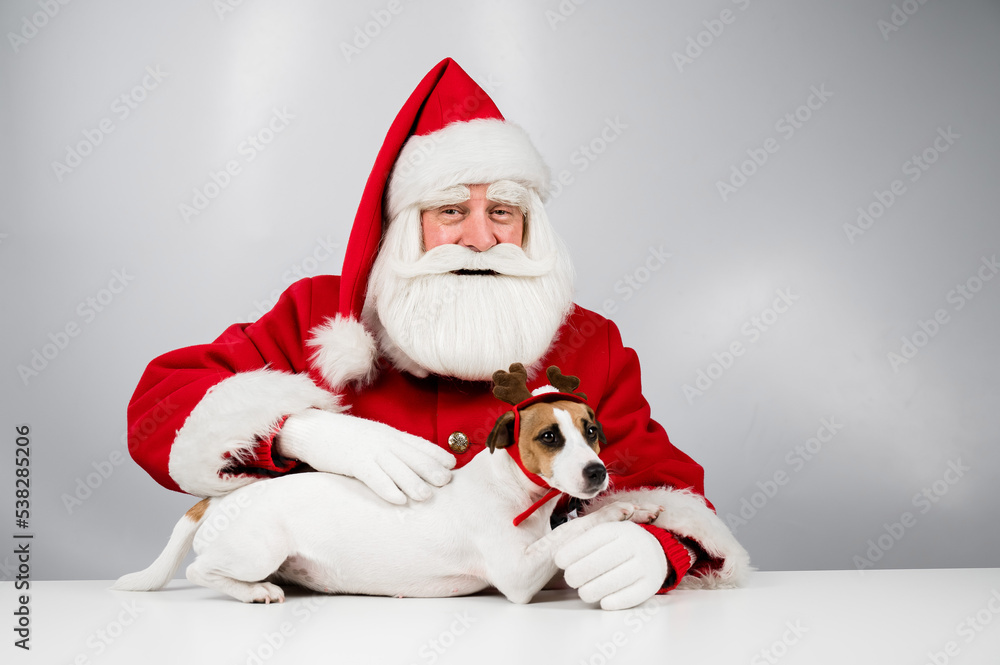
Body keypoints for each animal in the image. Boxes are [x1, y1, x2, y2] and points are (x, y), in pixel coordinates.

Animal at [113, 364, 664, 600]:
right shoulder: (519, 575)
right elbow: (567, 535)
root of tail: (213, 501)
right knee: (200, 572)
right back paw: (254, 592)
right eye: (549, 436)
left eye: (591, 431)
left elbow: (570, 533)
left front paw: (636, 510)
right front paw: (621, 512)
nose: (597, 472)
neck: (511, 489)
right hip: (257, 549)